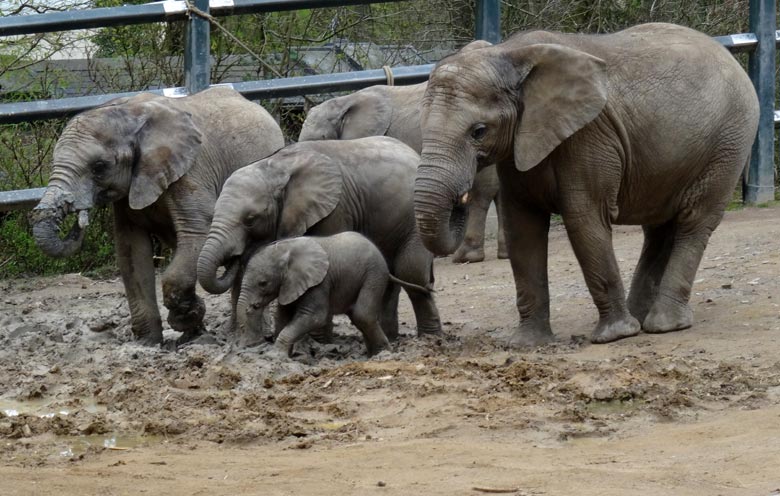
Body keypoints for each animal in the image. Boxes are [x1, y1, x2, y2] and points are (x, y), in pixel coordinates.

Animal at [32, 86, 286, 344]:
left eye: (99, 166)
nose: (77, 215)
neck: (127, 112)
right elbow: (131, 251)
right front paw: (148, 342)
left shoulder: (190, 171)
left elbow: (197, 233)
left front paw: (186, 320)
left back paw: (237, 333)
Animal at [238, 232, 432, 356]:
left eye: (263, 283)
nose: (252, 306)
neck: (286, 249)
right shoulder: (290, 284)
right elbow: (283, 316)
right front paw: (284, 356)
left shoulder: (319, 282)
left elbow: (314, 317)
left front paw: (275, 355)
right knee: (358, 316)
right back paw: (372, 354)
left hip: (374, 274)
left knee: (362, 314)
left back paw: (384, 354)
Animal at [414, 23, 760, 346]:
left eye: (479, 131)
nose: (460, 197)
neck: (509, 53)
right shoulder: (520, 144)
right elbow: (522, 227)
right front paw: (527, 343)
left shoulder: (589, 134)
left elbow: (584, 218)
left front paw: (615, 336)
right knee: (659, 228)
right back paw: (641, 317)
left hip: (729, 143)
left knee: (694, 222)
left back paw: (663, 324)